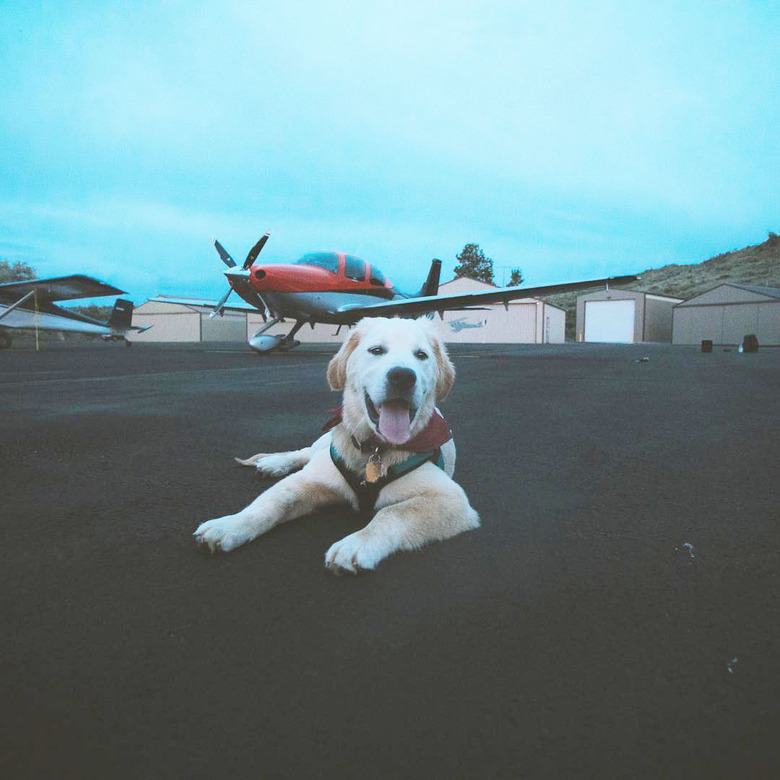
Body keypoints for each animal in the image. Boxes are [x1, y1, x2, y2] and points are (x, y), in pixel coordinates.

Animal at [192, 316, 478, 572]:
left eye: (421, 355)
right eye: (376, 350)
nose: (403, 376)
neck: (374, 449)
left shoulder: (452, 499)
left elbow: (393, 512)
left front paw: (356, 545)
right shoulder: (311, 478)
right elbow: (273, 501)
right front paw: (230, 525)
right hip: (324, 444)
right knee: (305, 452)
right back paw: (275, 463)